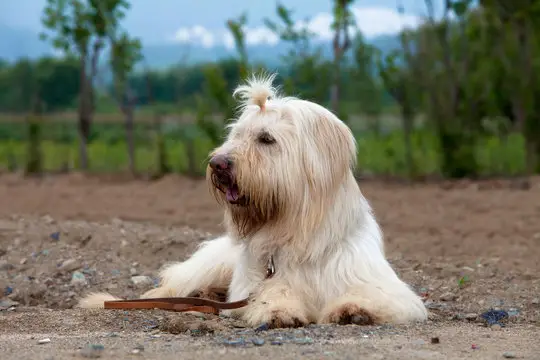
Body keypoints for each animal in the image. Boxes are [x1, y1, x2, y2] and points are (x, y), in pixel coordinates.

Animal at [78, 74, 428, 330]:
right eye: (236, 136)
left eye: (266, 139)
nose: (217, 163)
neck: (298, 234)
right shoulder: (260, 283)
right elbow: (274, 294)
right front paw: (280, 311)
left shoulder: (382, 286)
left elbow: (374, 296)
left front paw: (355, 309)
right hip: (210, 265)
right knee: (171, 287)